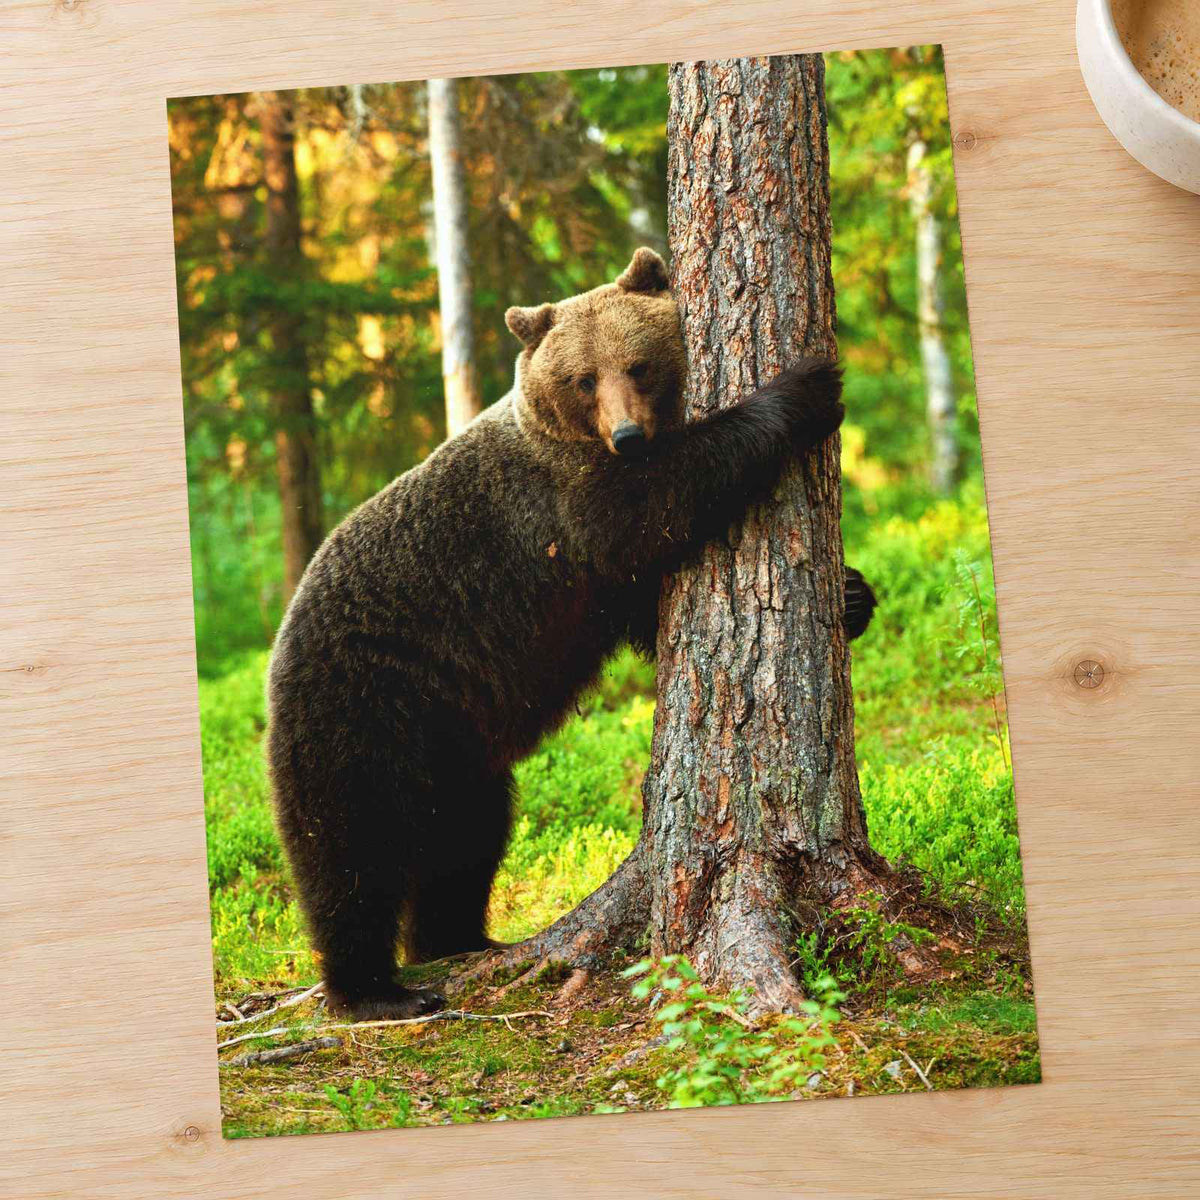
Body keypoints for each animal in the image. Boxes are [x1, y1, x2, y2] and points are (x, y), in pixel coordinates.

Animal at [266, 247, 876, 1021]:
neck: (576, 439)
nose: (628, 435)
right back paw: (377, 990)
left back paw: (461, 940)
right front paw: (804, 388)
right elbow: (658, 506)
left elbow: (652, 604)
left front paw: (853, 595)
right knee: (351, 846)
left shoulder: (595, 579)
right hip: (361, 704)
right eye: (583, 379)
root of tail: (280, 643)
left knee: (467, 836)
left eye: (638, 364)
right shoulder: (562, 512)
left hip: (454, 740)